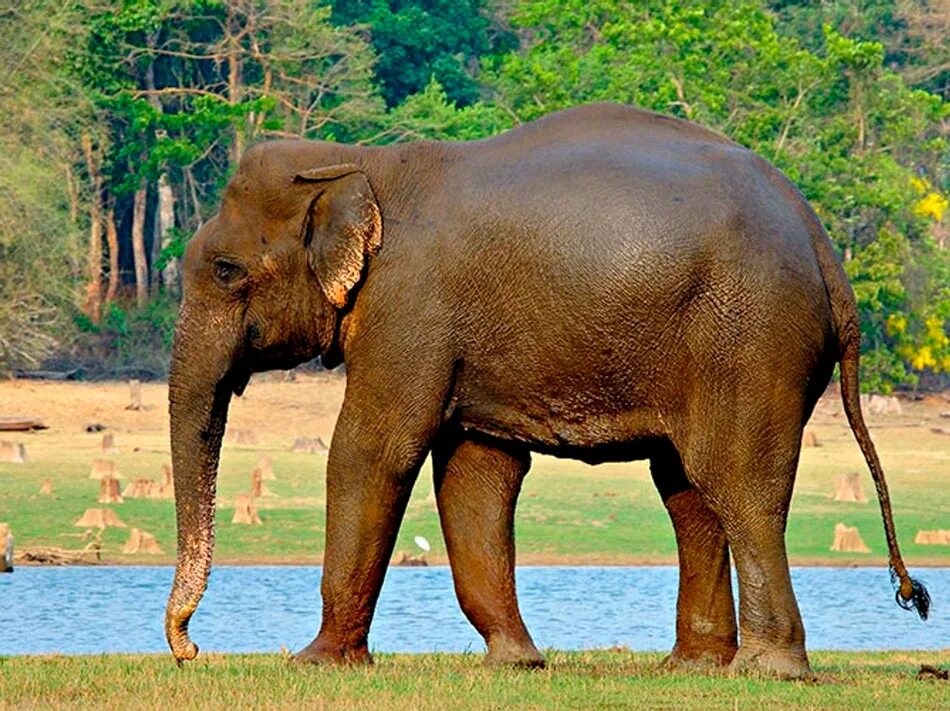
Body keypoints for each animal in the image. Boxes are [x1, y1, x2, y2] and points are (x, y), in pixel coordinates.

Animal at [165, 101, 928, 680]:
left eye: (226, 270)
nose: (190, 648)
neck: (359, 160)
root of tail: (823, 246)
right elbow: (476, 472)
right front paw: (516, 662)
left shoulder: (410, 308)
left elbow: (372, 449)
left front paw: (316, 662)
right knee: (688, 490)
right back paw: (694, 667)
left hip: (751, 336)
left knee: (739, 484)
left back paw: (769, 669)